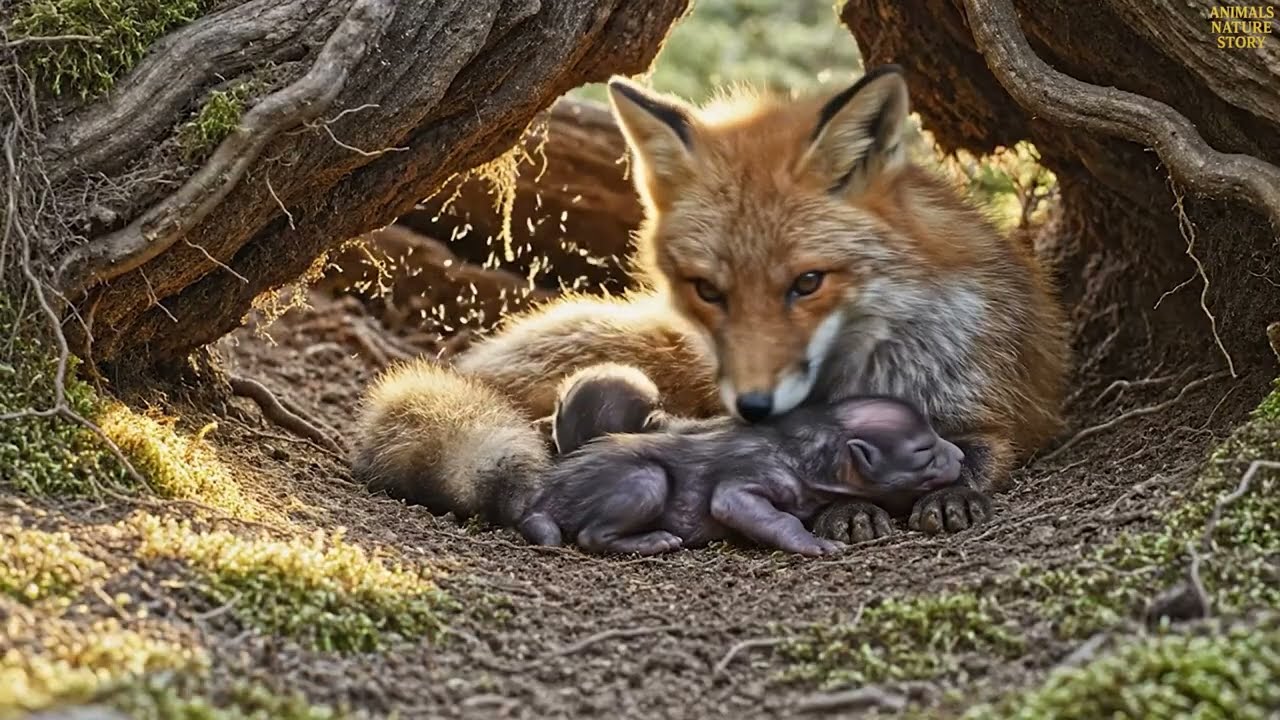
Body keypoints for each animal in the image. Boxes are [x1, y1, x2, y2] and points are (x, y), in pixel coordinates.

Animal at [350, 65, 1070, 540]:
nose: (752, 407)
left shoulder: (1004, 402)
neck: (873, 369)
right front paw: (847, 508)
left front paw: (953, 490)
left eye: (807, 282)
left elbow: (986, 451)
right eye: (708, 290)